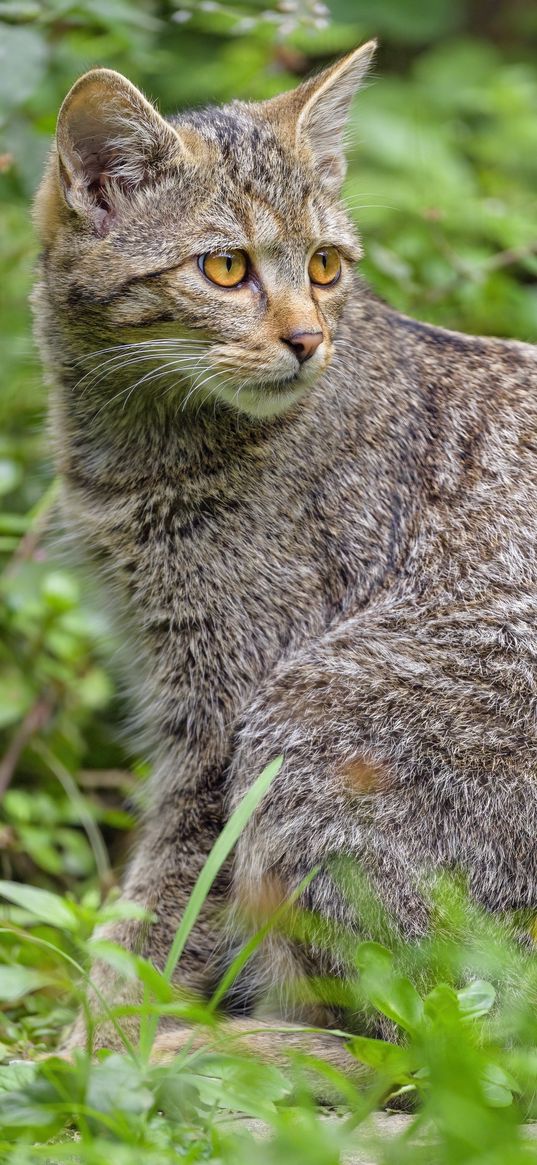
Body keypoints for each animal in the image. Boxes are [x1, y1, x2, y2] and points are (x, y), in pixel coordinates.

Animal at [32, 41, 535, 1067]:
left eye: (325, 264)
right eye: (225, 268)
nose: (309, 337)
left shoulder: (222, 709)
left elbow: (159, 912)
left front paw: (97, 1050)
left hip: (319, 711)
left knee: (419, 1040)